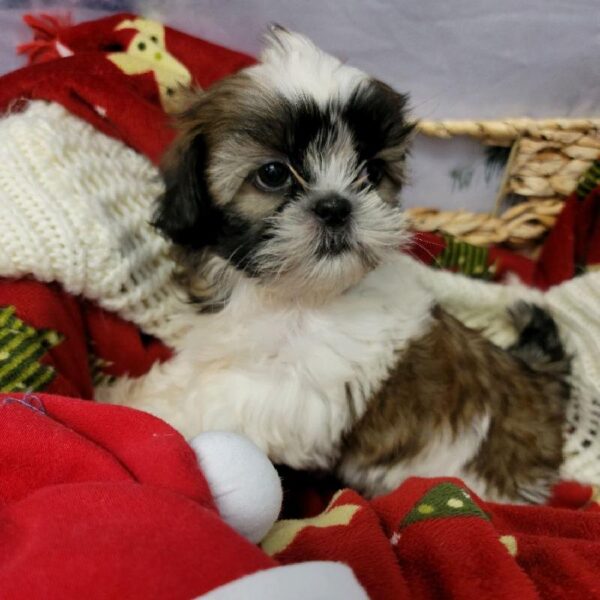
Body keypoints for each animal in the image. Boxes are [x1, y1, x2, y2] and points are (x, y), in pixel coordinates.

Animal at [99, 25, 572, 504]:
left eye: (370, 172)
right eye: (274, 174)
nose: (335, 207)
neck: (291, 297)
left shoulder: (301, 394)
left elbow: (214, 399)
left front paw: (137, 409)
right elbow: (192, 374)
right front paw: (135, 391)